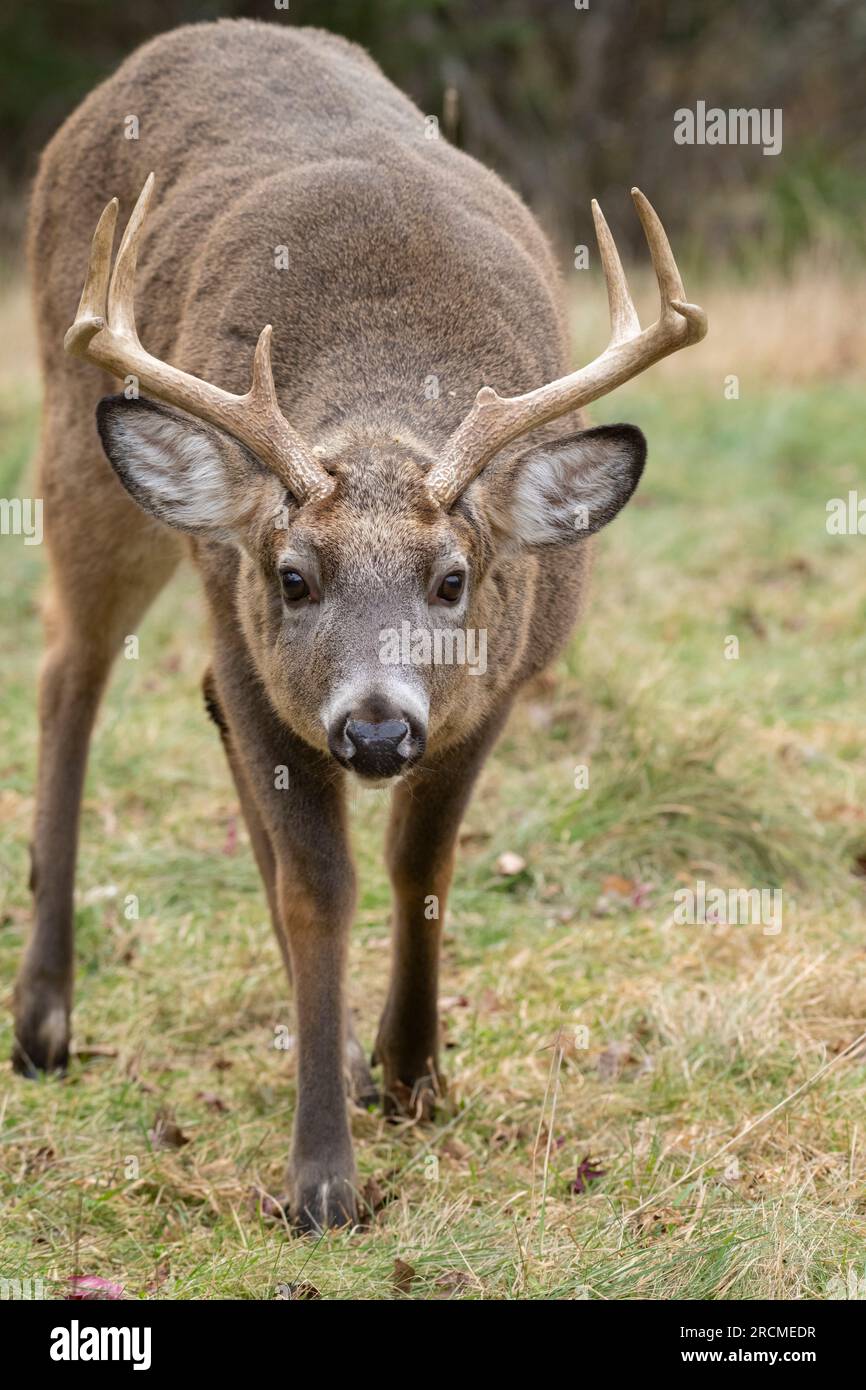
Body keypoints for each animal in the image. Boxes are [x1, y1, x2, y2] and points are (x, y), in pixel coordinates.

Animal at [13, 19, 706, 1231]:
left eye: (454, 579)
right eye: (294, 577)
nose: (376, 730)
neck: (385, 389)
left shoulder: (502, 679)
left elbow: (418, 858)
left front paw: (411, 1072)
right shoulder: (257, 643)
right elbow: (319, 888)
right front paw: (322, 1176)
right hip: (78, 438)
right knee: (70, 674)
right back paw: (44, 1020)